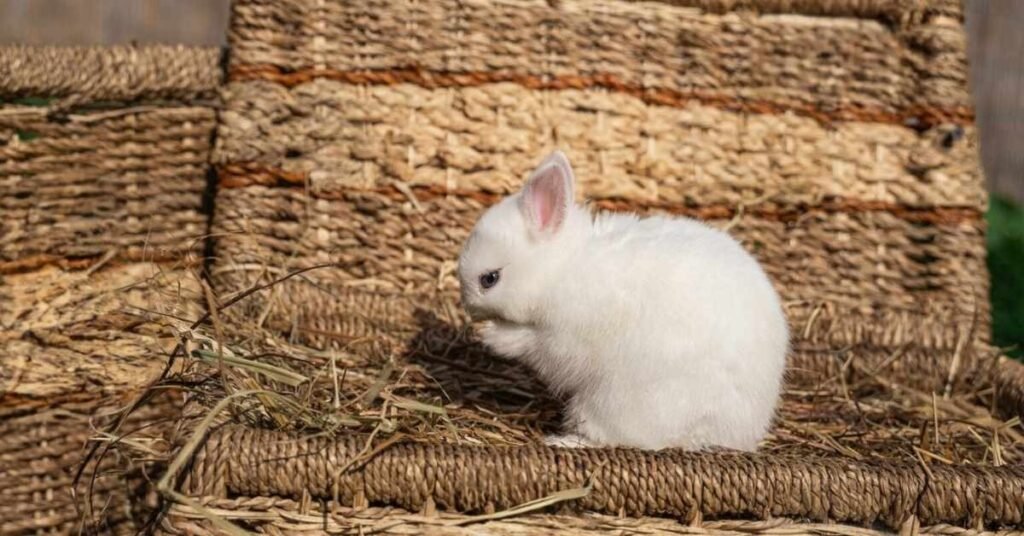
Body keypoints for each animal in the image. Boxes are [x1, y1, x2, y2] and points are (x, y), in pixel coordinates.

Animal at [457, 150, 789, 451]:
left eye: (490, 279)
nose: (468, 306)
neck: (560, 269)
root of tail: (732, 432)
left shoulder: (565, 337)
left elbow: (533, 342)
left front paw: (492, 336)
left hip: (611, 402)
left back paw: (564, 441)